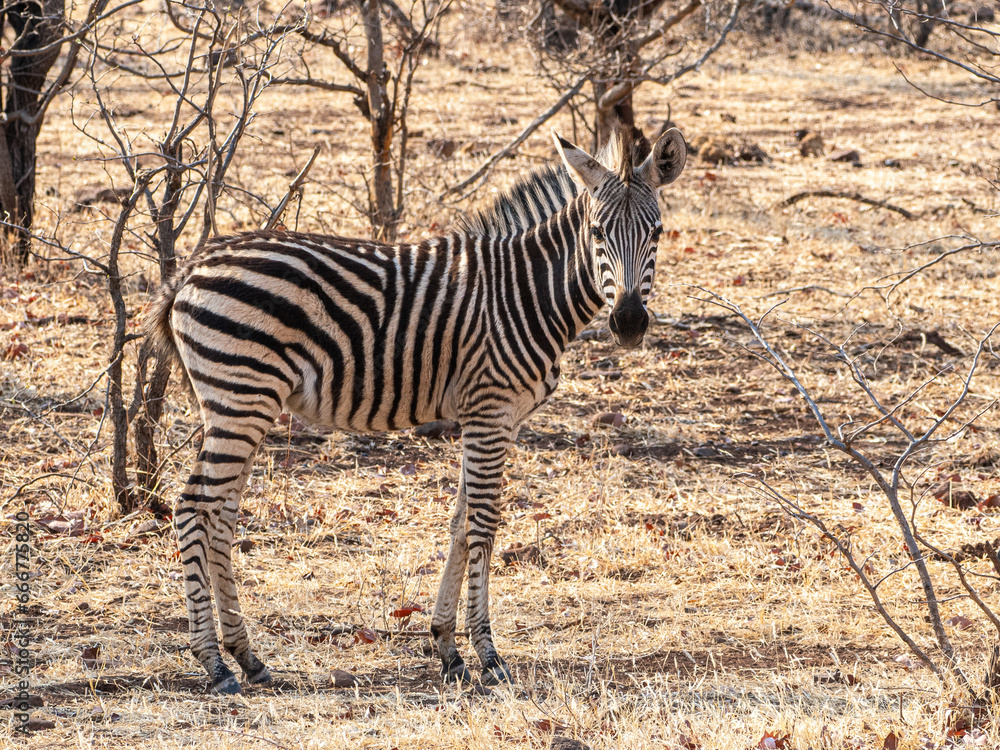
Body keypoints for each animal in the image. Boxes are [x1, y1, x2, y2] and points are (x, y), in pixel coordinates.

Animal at [146, 125, 687, 694]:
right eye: (598, 233)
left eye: (657, 233)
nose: (629, 323)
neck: (526, 293)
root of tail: (189, 268)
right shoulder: (489, 410)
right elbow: (483, 524)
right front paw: (488, 655)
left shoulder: (496, 418)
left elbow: (460, 522)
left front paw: (448, 648)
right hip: (240, 397)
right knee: (194, 508)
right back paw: (214, 664)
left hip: (237, 404)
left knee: (222, 513)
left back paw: (247, 657)